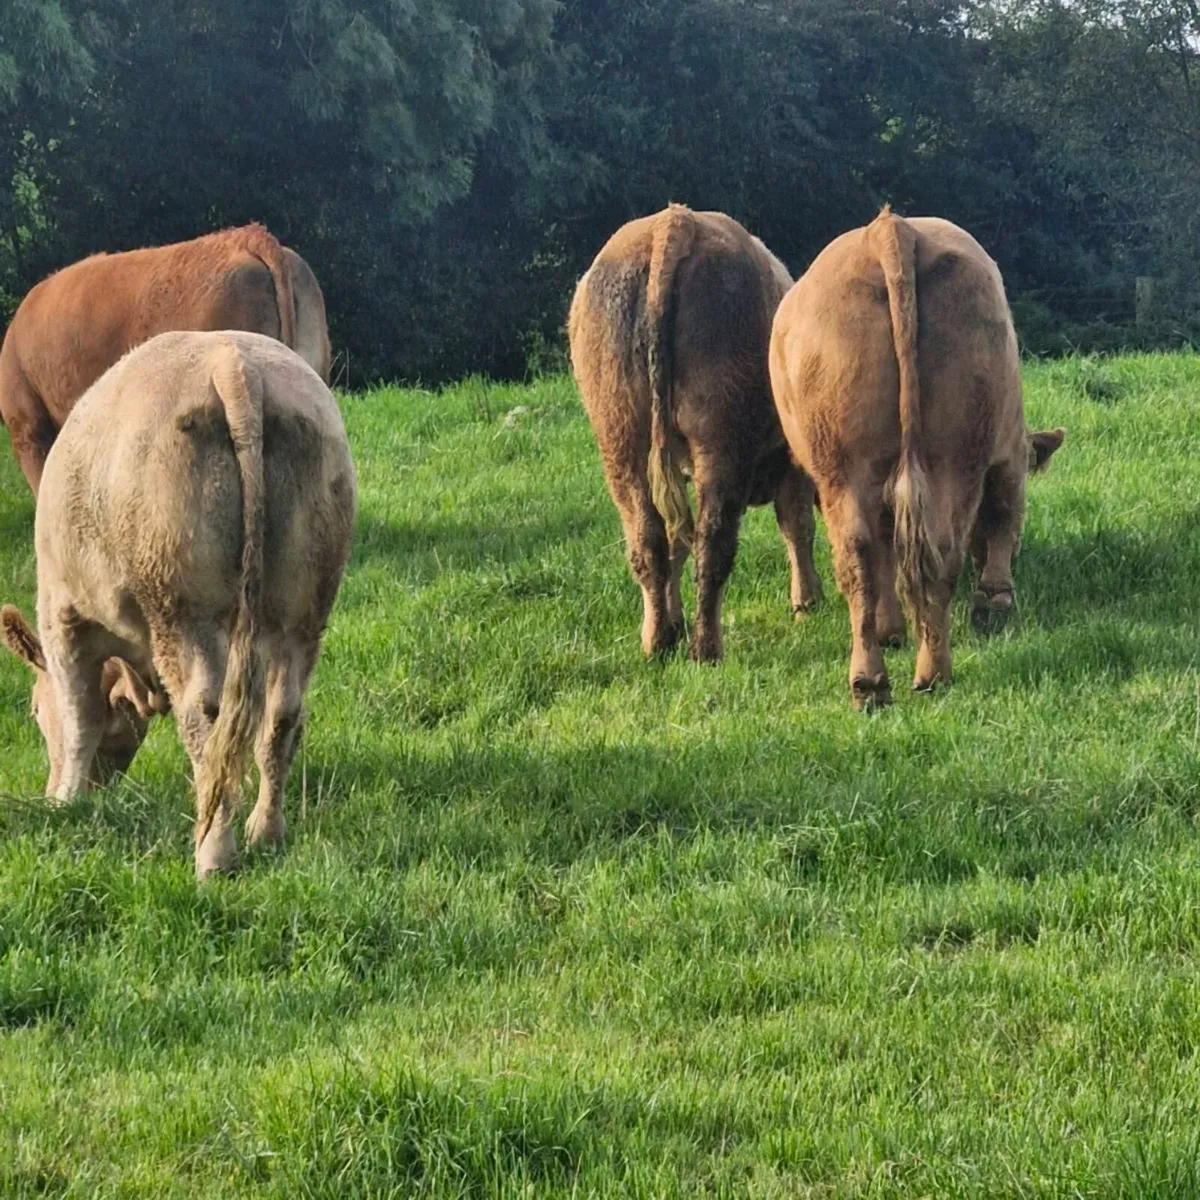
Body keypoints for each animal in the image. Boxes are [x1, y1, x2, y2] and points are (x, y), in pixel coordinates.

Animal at [1, 330, 355, 879]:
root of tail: (232, 362)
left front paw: (65, 801)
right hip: (302, 608)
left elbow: (80, 718)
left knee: (204, 715)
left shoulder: (63, 616)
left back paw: (213, 852)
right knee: (280, 713)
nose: (56, 790)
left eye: (35, 711)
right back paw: (264, 830)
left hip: (184, 610)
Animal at [568, 204, 822, 662]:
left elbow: (675, 543)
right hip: (720, 445)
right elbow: (797, 526)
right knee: (713, 542)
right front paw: (807, 600)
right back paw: (706, 647)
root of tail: (674, 222)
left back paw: (658, 640)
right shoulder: (791, 469)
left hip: (621, 442)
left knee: (650, 541)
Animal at [769, 208, 1064, 710]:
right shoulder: (1006, 451)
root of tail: (891, 228)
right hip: (949, 459)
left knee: (864, 559)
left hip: (855, 468)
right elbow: (1001, 512)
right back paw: (924, 672)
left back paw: (878, 680)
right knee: (924, 554)